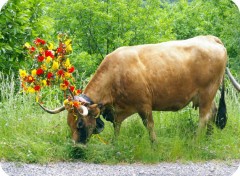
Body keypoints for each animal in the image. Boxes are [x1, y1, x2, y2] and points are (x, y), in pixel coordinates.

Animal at [39, 35, 240, 144]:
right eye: (69, 123)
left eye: (80, 123)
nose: (76, 146)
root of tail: (210, 38)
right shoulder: (118, 110)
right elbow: (117, 126)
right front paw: (115, 143)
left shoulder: (144, 105)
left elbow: (149, 126)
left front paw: (154, 145)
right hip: (207, 96)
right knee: (212, 113)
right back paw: (208, 140)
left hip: (208, 91)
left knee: (204, 117)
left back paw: (195, 141)